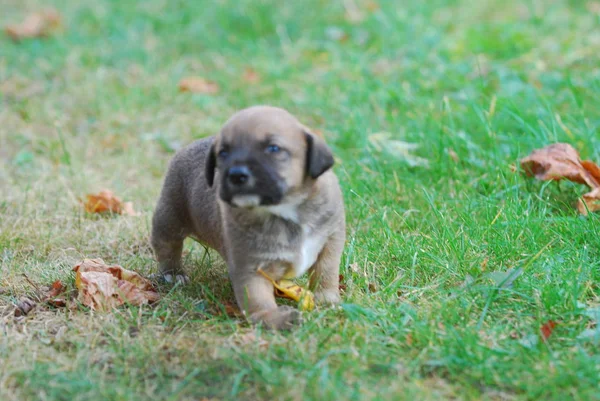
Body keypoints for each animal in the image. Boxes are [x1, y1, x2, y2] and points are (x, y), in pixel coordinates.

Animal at [151, 105, 346, 328]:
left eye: (273, 148)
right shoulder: (250, 266)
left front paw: (326, 299)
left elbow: (326, 271)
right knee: (167, 246)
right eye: (223, 153)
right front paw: (273, 318)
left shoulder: (331, 239)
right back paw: (173, 274)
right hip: (170, 217)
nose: (236, 174)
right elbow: (258, 299)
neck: (284, 209)